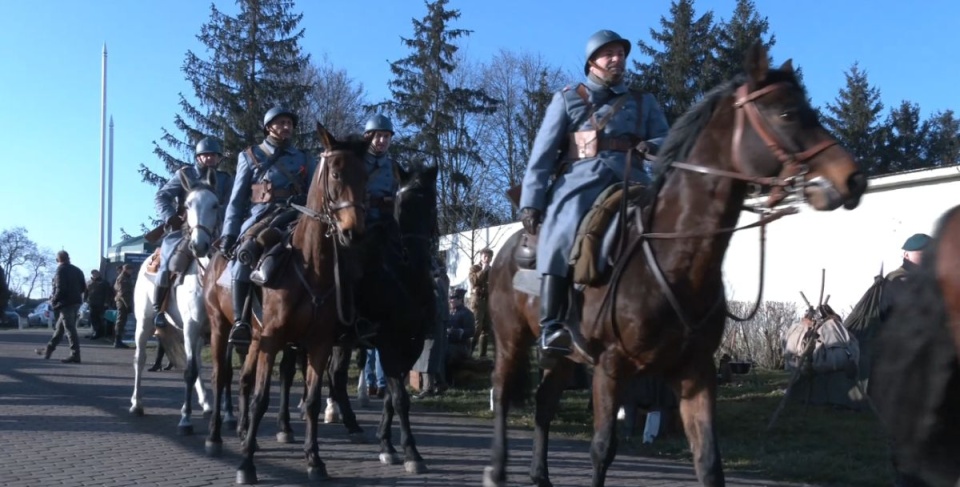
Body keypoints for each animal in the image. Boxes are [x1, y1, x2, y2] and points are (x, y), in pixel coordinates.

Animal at [129, 174, 219, 434]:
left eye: (216, 204)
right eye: (187, 205)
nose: (199, 245)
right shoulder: (191, 326)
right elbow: (189, 371)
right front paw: (185, 419)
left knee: (196, 363)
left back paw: (206, 404)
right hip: (144, 324)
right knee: (140, 359)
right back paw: (137, 404)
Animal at [201, 124, 370, 486]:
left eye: (366, 175)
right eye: (336, 173)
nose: (354, 232)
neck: (311, 267)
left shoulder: (318, 344)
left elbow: (311, 401)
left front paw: (314, 460)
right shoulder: (274, 340)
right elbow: (262, 399)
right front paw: (246, 465)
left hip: (253, 339)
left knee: (244, 379)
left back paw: (243, 433)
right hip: (222, 328)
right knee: (221, 377)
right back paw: (215, 436)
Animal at [484, 43, 868, 487]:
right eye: (787, 113)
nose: (852, 179)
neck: (676, 260)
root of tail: (508, 248)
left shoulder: (695, 373)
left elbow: (708, 460)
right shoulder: (610, 369)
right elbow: (602, 450)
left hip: (564, 360)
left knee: (544, 403)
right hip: (511, 339)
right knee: (503, 395)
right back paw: (496, 469)